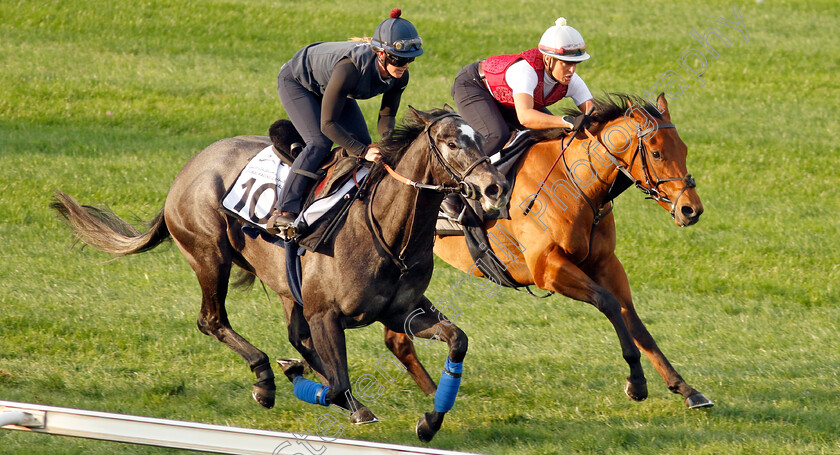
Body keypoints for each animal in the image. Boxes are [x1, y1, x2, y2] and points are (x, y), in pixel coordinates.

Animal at [55, 107, 512, 442]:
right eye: (451, 142)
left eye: (481, 139)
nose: (496, 188)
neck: (388, 231)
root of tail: (187, 169)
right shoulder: (326, 313)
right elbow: (339, 379)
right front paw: (316, 387)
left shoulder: (401, 311)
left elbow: (457, 340)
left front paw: (430, 420)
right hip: (209, 255)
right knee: (213, 320)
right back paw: (265, 379)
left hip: (283, 286)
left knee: (295, 336)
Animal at [384, 92, 712, 410]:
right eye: (656, 154)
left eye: (684, 150)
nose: (691, 209)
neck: (577, 183)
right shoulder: (548, 269)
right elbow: (607, 303)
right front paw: (637, 381)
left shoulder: (606, 264)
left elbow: (634, 321)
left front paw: (685, 389)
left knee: (397, 338)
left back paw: (432, 392)